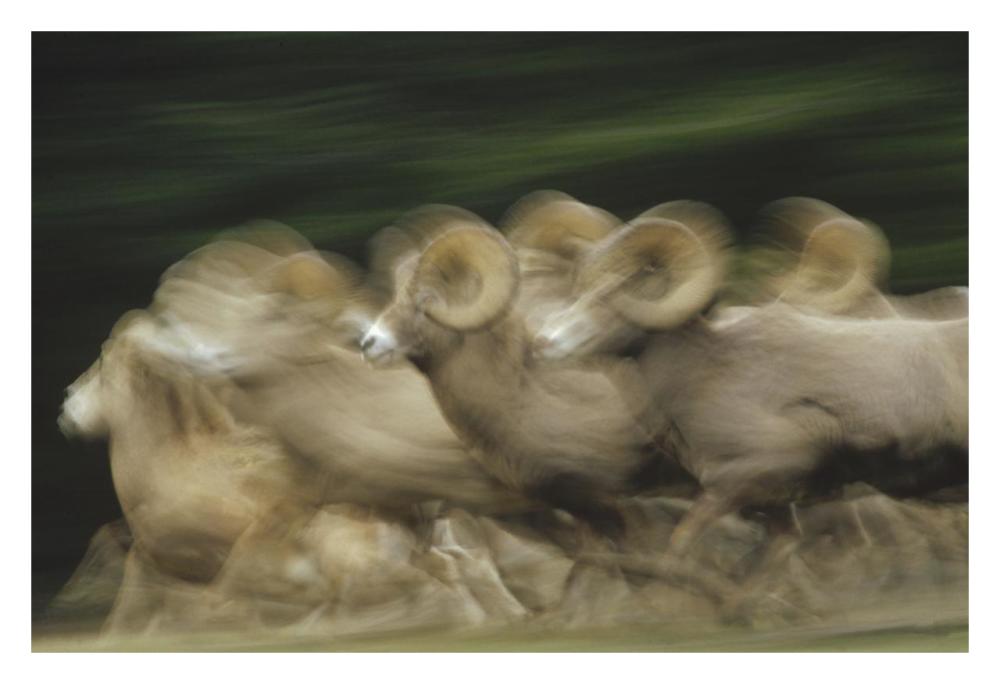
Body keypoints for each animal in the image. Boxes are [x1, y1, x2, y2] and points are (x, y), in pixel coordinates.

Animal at [532, 203, 968, 557]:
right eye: (578, 287)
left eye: (618, 287)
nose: (544, 341)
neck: (706, 370)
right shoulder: (769, 508)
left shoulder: (745, 479)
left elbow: (680, 544)